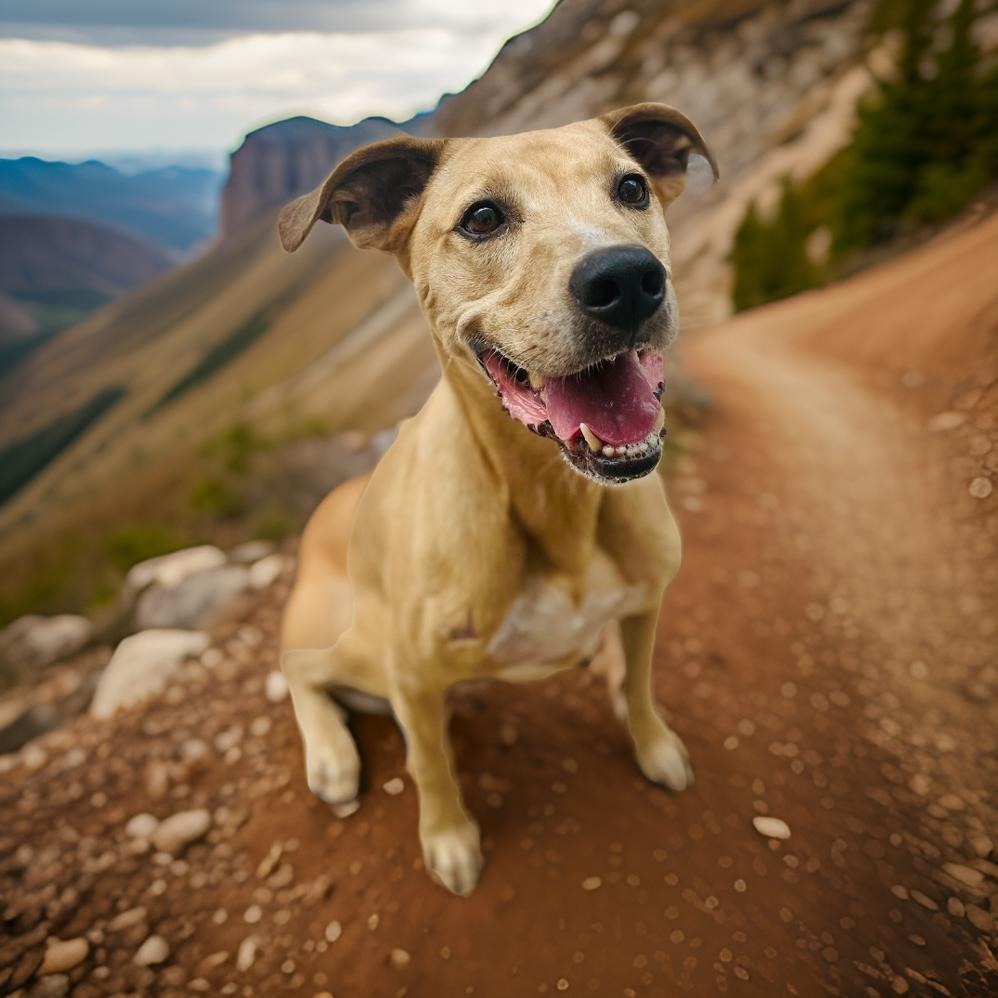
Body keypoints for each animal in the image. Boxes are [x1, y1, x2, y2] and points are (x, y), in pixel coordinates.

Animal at [278, 103, 724, 900]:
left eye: (632, 188)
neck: (553, 497)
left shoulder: (646, 605)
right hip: (363, 648)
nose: (627, 278)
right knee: (297, 666)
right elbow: (429, 766)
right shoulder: (413, 675)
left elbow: (642, 686)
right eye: (482, 217)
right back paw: (330, 756)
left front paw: (653, 745)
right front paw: (449, 839)